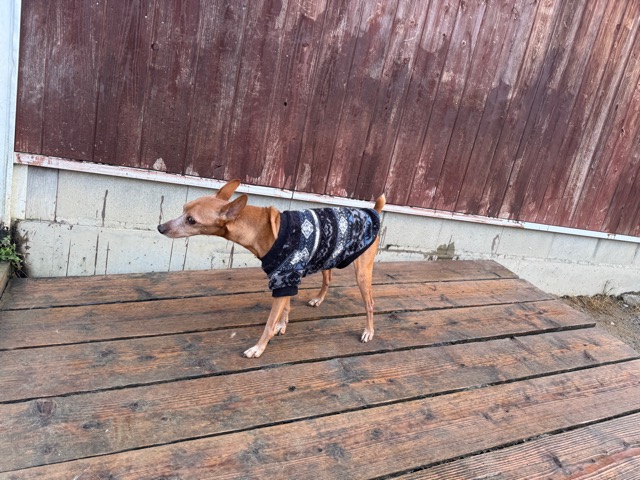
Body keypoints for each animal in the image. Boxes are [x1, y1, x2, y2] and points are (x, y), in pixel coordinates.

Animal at [158, 179, 385, 358]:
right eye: (183, 209)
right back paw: (319, 299)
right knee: (328, 278)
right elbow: (286, 307)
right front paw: (282, 325)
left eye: (191, 220)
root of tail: (373, 210)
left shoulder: (285, 279)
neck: (262, 229)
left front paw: (258, 348)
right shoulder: (286, 280)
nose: (160, 227)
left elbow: (269, 323)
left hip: (362, 272)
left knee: (370, 303)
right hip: (327, 256)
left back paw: (369, 331)